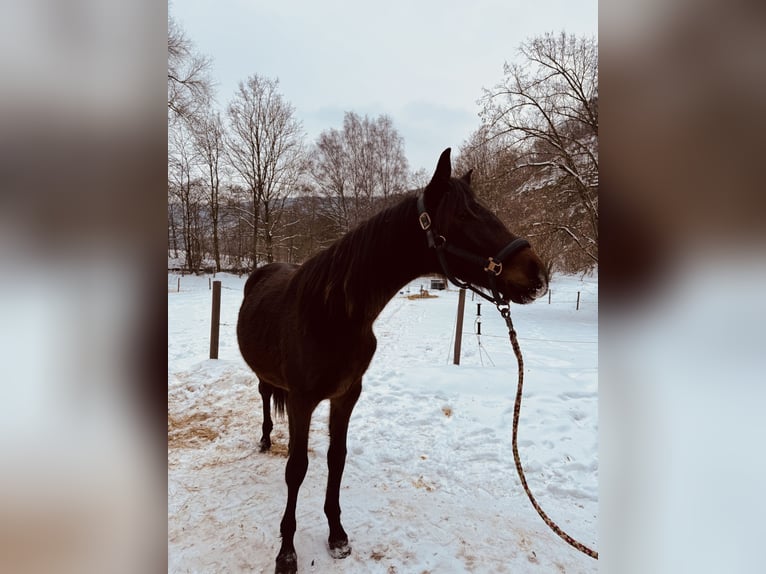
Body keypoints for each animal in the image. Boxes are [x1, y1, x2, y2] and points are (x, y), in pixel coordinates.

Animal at [237, 148, 549, 574]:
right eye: (465, 215)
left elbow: (337, 458)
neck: (334, 313)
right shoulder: (302, 400)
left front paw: (337, 535)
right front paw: (286, 552)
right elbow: (296, 470)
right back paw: (267, 439)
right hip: (268, 378)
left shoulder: (346, 396)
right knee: (265, 396)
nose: (537, 272)